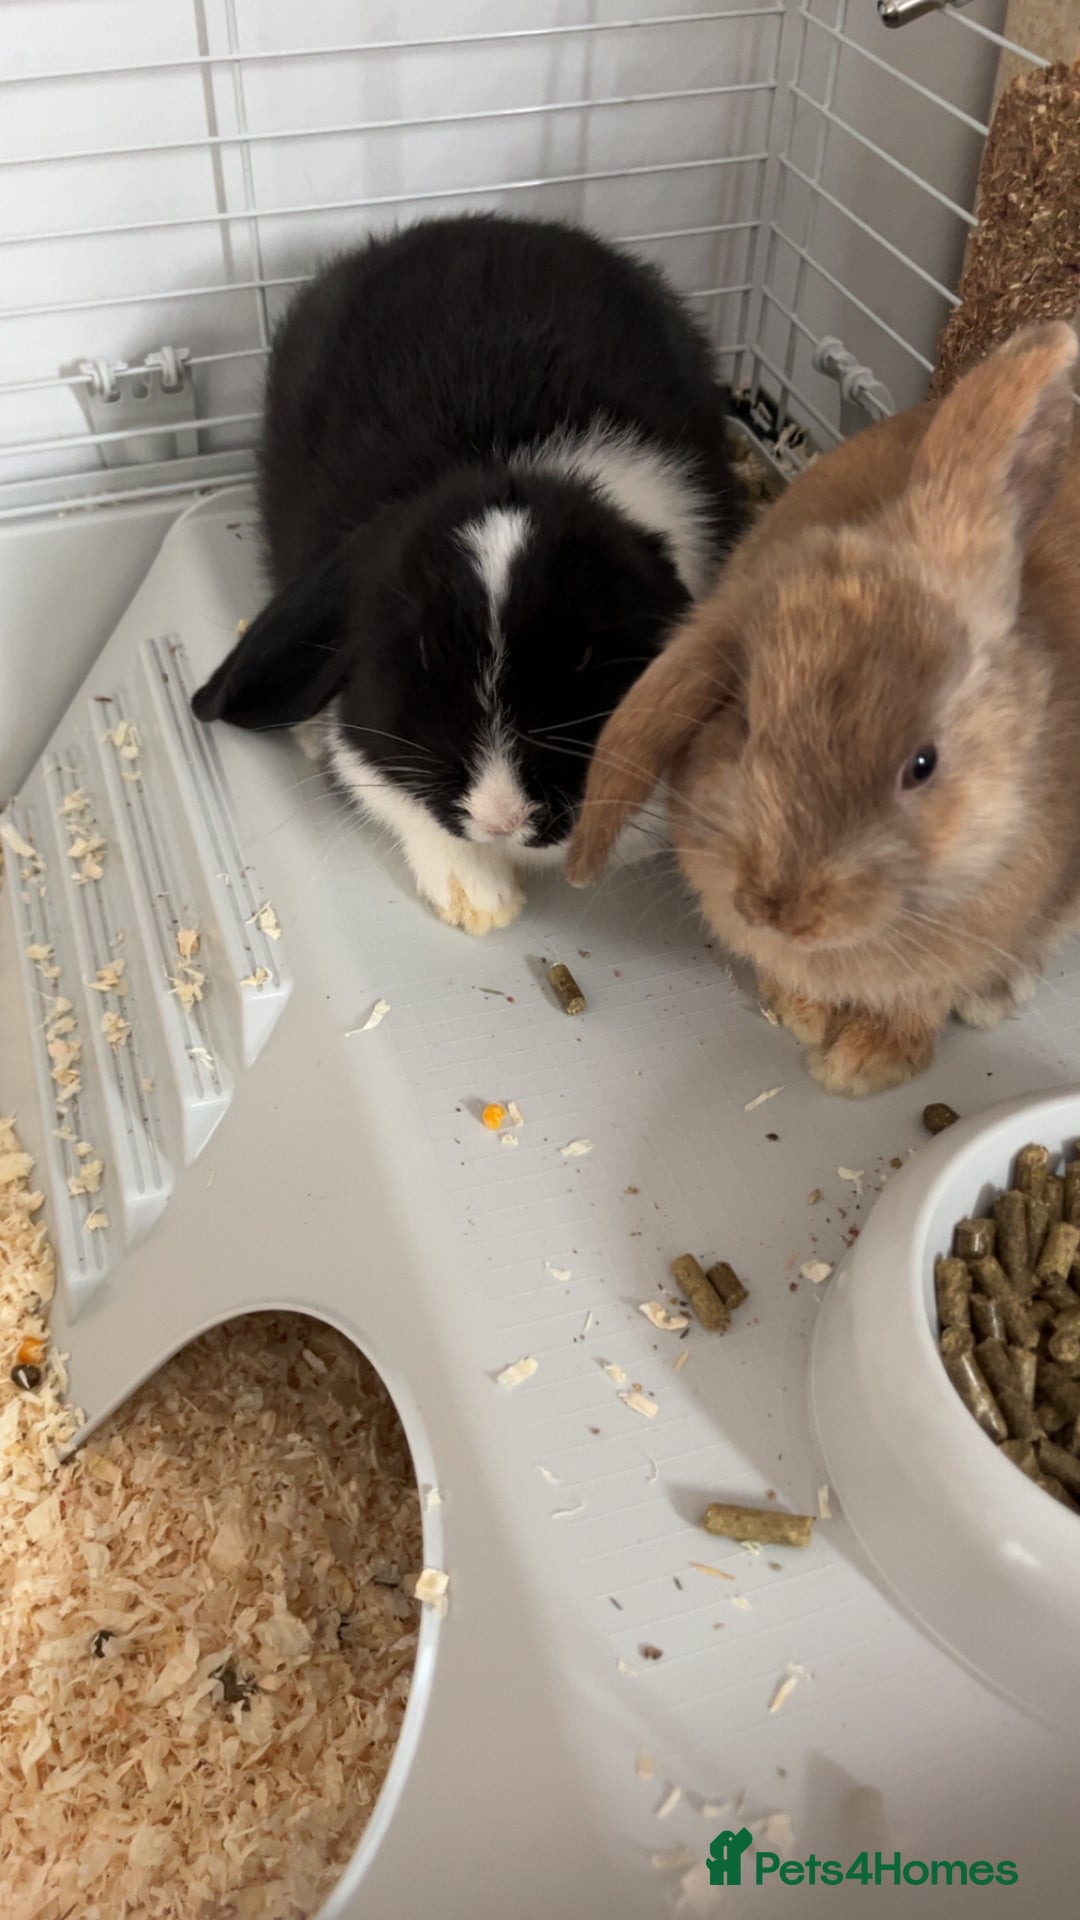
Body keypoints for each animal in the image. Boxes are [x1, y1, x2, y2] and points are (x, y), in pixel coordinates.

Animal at [192, 213, 747, 933]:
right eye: (422, 654)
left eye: (584, 656)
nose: (500, 818)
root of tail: (482, 222)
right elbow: (386, 789)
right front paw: (481, 901)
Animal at [566, 320, 1080, 1096]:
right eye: (744, 722)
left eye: (923, 765)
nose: (775, 908)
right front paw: (802, 1013)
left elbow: (924, 999)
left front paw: (863, 1063)